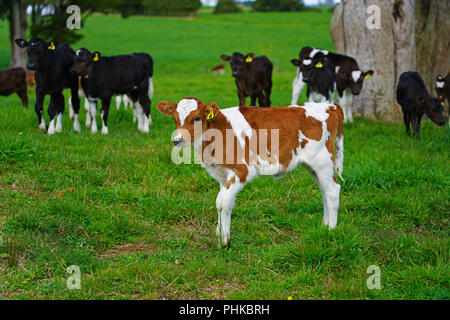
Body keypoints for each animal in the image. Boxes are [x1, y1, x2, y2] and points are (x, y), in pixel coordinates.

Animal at [156, 99, 342, 249]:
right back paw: (324, 225)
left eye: (196, 118)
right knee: (325, 192)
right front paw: (222, 237)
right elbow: (225, 203)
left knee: (333, 191)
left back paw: (330, 230)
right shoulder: (222, 175)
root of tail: (329, 105)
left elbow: (221, 202)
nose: (177, 140)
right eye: (175, 118)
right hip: (313, 167)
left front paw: (224, 242)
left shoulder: (242, 171)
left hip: (322, 162)